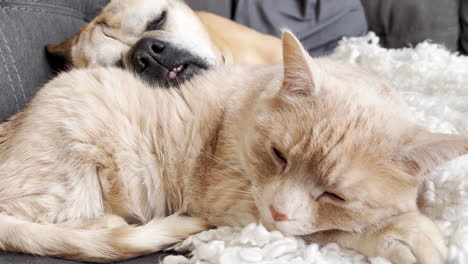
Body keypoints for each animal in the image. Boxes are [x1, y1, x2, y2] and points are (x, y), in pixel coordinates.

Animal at [0, 32, 464, 262]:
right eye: (279, 156)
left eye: (334, 194)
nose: (279, 210)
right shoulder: (234, 202)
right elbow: (329, 230)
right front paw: (408, 233)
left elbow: (327, 224)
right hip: (65, 175)